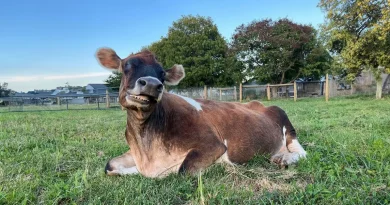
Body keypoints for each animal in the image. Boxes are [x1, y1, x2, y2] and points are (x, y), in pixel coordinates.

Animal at [96, 48, 306, 178]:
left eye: (162, 73)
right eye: (126, 66)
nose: (152, 84)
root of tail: (259, 103)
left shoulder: (213, 145)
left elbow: (180, 170)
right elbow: (110, 166)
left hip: (286, 123)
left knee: (301, 152)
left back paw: (286, 158)